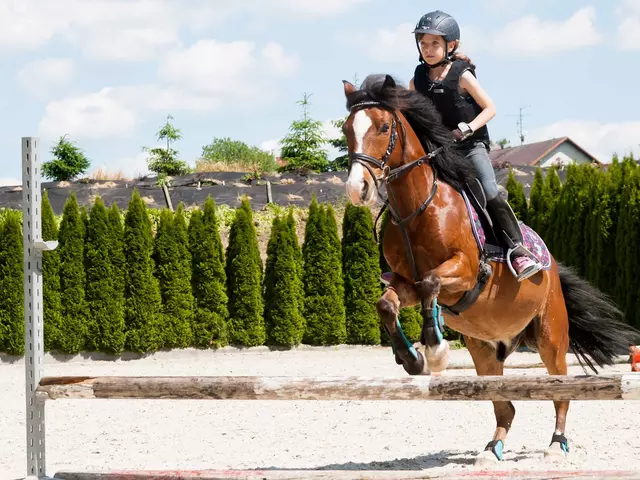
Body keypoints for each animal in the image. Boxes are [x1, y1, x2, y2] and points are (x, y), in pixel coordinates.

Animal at [340, 74, 640, 464]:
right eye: (347, 129)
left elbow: (431, 283)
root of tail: (552, 266)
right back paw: (491, 449)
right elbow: (388, 304)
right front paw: (412, 359)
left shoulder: (465, 273)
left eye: (384, 127)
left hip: (550, 337)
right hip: (484, 350)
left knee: (560, 391)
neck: (416, 208)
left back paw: (556, 445)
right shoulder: (404, 282)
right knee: (504, 405)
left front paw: (434, 348)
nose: (356, 188)